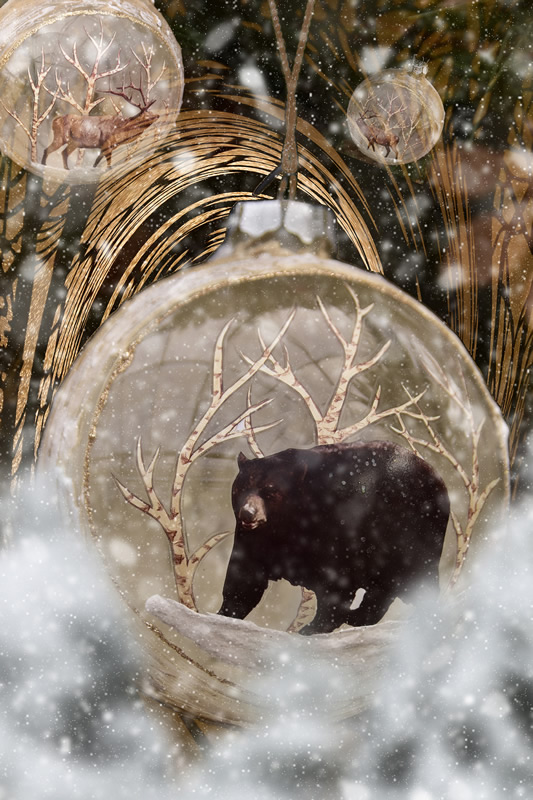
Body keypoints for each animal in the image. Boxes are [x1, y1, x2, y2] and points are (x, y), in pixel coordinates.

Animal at [218, 441, 450, 633]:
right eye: (241, 487)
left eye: (270, 491)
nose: (248, 513)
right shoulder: (256, 539)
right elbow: (245, 578)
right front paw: (226, 613)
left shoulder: (338, 530)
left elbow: (337, 583)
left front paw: (313, 627)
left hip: (409, 534)